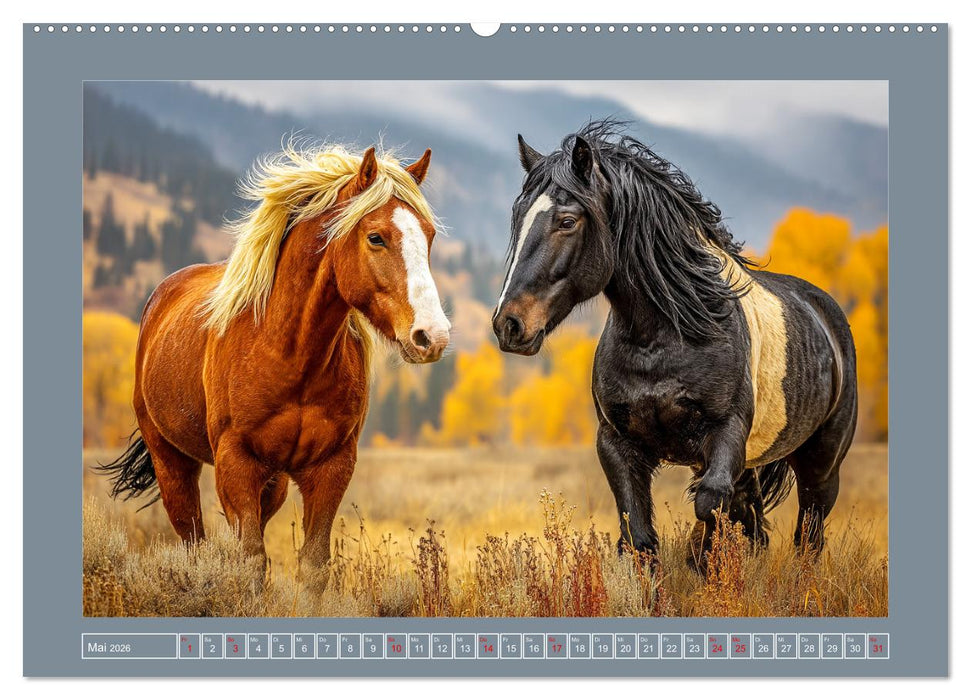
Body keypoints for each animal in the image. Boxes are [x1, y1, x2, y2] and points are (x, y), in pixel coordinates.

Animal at [99, 143, 450, 591]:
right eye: (376, 237)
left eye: (429, 235)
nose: (432, 335)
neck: (291, 355)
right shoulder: (236, 463)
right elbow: (250, 561)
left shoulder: (332, 466)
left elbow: (312, 565)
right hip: (172, 463)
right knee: (193, 539)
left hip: (275, 482)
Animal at [493, 120, 858, 570]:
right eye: (518, 218)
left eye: (566, 221)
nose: (509, 325)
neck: (662, 340)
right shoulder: (617, 444)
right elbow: (640, 537)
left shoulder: (725, 434)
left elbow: (709, 503)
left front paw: (698, 556)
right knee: (756, 521)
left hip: (821, 467)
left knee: (808, 535)